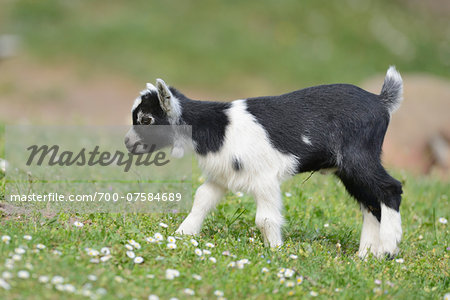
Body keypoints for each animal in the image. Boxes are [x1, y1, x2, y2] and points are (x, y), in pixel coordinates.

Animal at [124, 67, 404, 258]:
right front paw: (183, 234)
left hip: (359, 156)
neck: (217, 126)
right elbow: (201, 200)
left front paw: (276, 251)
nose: (128, 143)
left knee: (390, 189)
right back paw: (366, 255)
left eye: (147, 119)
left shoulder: (264, 177)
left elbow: (265, 219)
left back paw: (389, 246)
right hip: (346, 168)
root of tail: (381, 101)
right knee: (370, 203)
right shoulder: (221, 177)